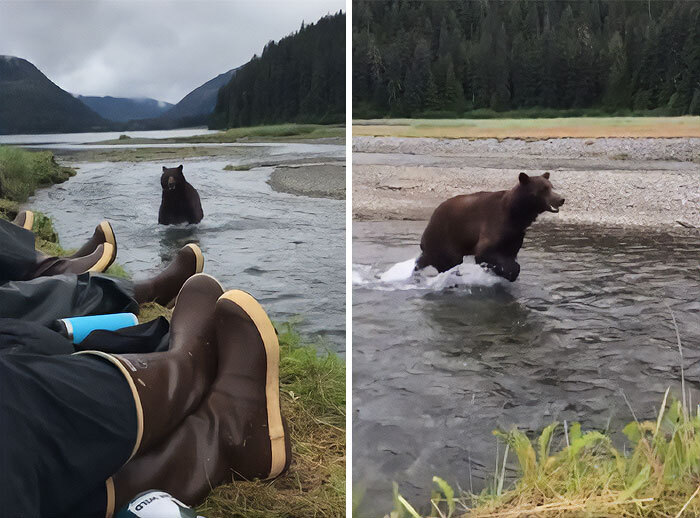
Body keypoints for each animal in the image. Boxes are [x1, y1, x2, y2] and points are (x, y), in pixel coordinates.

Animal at [415, 172, 565, 282]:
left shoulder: (514, 234)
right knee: (447, 261)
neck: (515, 213)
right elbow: (485, 252)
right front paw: (506, 271)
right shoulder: (494, 224)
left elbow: (509, 252)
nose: (561, 199)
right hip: (445, 239)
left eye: (552, 186)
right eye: (543, 189)